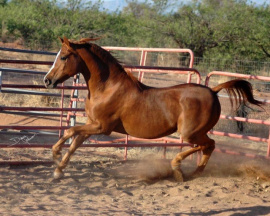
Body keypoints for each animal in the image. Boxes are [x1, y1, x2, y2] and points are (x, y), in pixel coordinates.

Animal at [44, 37, 264, 181]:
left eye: (63, 57)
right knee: (208, 147)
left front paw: (55, 155)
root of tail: (213, 90)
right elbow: (75, 142)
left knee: (209, 144)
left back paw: (177, 168)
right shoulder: (92, 124)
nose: (47, 80)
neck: (107, 88)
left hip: (190, 133)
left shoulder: (102, 127)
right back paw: (193, 173)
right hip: (195, 133)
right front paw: (58, 170)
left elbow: (70, 131)